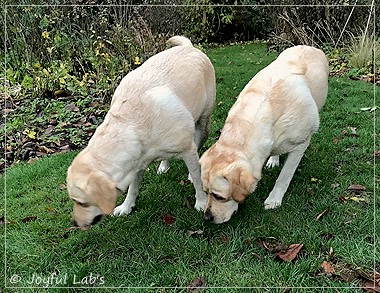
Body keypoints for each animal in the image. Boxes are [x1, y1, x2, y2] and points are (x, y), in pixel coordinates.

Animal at [67, 36, 215, 228]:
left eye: (82, 203)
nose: (75, 223)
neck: (130, 125)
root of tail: (190, 48)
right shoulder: (137, 163)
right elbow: (133, 188)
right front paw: (126, 207)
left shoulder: (187, 149)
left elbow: (197, 178)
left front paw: (201, 201)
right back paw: (163, 166)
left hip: (203, 123)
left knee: (198, 146)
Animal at [200, 45, 328, 224]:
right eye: (205, 192)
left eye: (219, 197)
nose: (207, 218)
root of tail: (309, 46)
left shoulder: (300, 144)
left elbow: (284, 176)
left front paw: (274, 199)